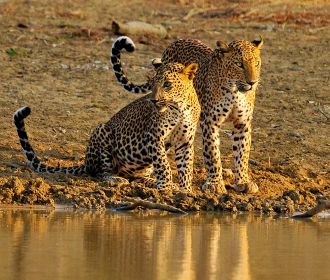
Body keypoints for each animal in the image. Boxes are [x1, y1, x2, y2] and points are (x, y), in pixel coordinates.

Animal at [13, 61, 201, 191]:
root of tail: (86, 162)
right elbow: (164, 165)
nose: (153, 100)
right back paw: (116, 179)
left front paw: (184, 190)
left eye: (167, 84)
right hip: (102, 132)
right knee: (100, 172)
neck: (179, 107)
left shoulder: (185, 141)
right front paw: (166, 187)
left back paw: (150, 181)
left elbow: (186, 167)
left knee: (135, 177)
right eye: (152, 84)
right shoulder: (154, 137)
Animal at [111, 35, 262, 194]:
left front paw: (243, 181)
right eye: (239, 64)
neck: (235, 92)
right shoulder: (210, 122)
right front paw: (215, 183)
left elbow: (242, 153)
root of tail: (175, 42)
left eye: (257, 63)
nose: (252, 82)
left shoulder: (242, 123)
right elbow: (212, 153)